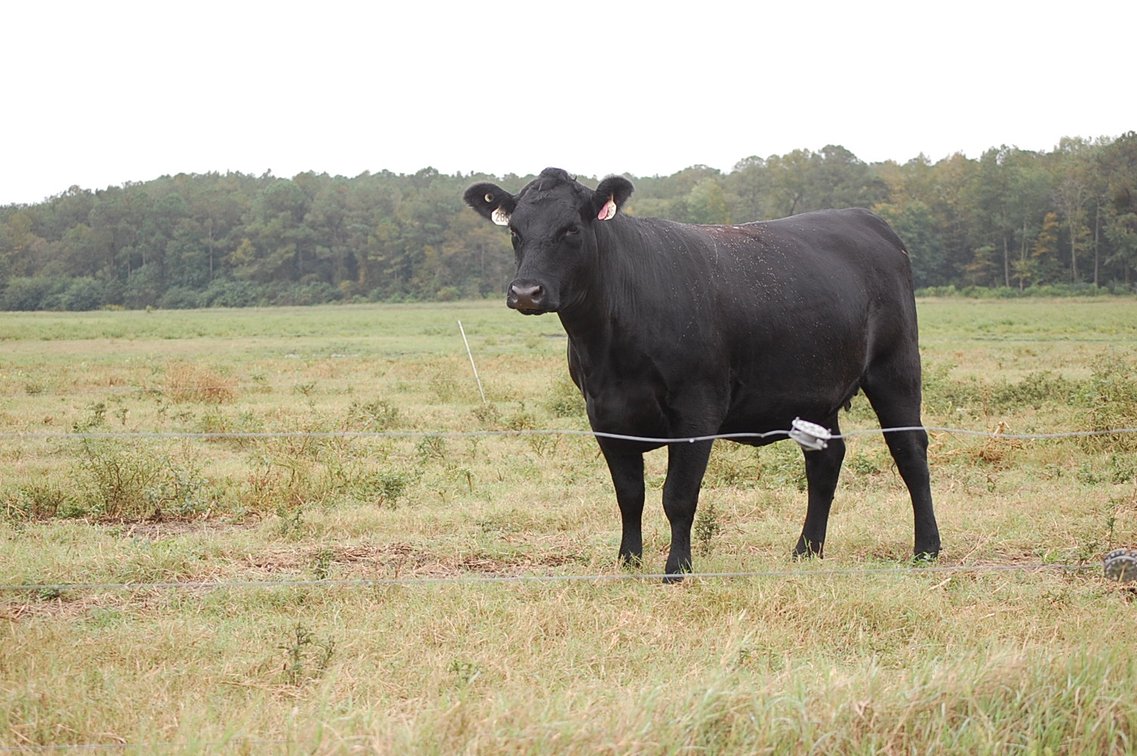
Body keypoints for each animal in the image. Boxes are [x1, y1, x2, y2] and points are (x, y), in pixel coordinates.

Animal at [463, 168, 941, 579]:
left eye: (571, 230)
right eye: (515, 231)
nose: (526, 291)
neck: (609, 343)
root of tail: (866, 219)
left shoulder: (697, 407)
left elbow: (678, 496)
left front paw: (677, 569)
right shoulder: (603, 413)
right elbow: (629, 494)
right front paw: (628, 562)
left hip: (895, 368)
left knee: (910, 452)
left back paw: (927, 549)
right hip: (815, 388)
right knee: (825, 459)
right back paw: (806, 550)